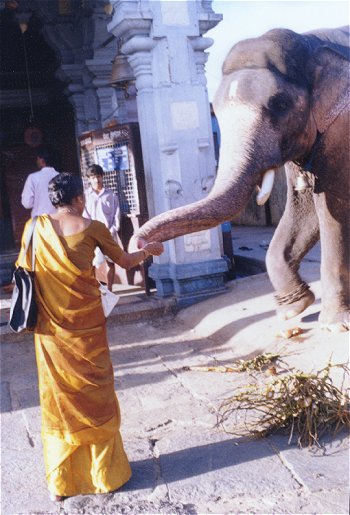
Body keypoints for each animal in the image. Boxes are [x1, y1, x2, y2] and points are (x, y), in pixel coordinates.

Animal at [133, 26, 348, 332]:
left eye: (280, 103)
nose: (143, 246)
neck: (311, 42)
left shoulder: (340, 130)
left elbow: (332, 211)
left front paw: (334, 325)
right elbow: (304, 210)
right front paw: (292, 309)